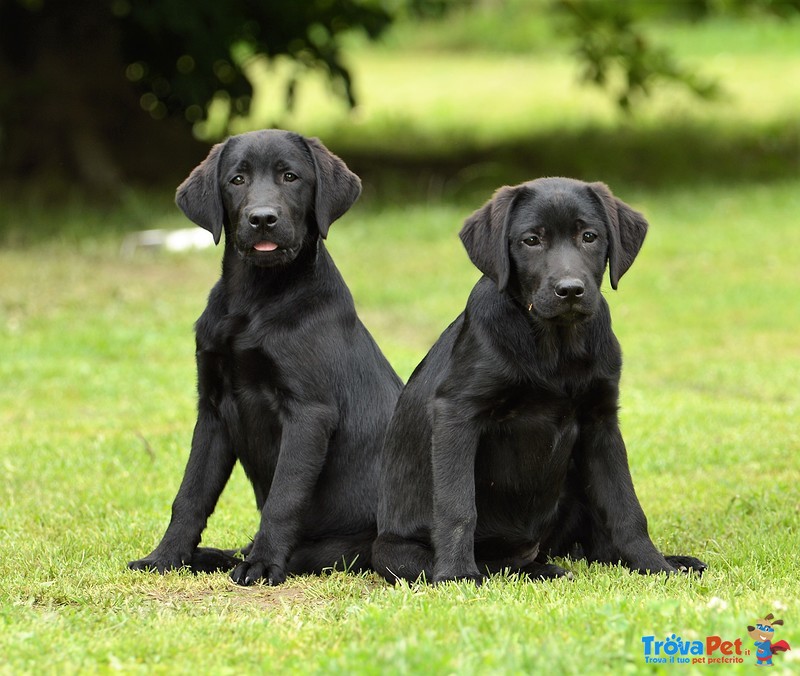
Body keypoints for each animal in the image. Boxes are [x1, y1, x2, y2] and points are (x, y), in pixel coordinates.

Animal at [132, 129, 406, 584]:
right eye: (237, 179)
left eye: (290, 177)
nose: (262, 218)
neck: (255, 300)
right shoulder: (212, 408)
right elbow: (190, 494)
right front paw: (165, 557)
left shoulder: (309, 413)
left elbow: (283, 497)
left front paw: (262, 564)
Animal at [372, 177, 704, 584]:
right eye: (531, 240)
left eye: (589, 236)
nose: (571, 290)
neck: (555, 347)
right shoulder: (456, 413)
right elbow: (457, 506)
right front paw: (457, 577)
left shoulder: (601, 420)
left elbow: (625, 506)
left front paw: (654, 566)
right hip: (395, 552)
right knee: (498, 564)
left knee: (595, 545)